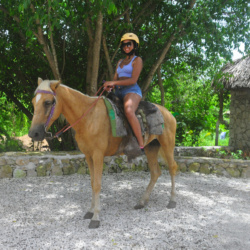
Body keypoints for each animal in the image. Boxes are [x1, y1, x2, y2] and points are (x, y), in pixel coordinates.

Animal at [28, 77, 178, 229]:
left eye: (47, 102)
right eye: (34, 102)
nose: (34, 133)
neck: (88, 118)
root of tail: (168, 113)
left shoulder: (98, 155)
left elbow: (97, 185)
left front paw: (95, 217)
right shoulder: (88, 156)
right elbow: (92, 183)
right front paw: (90, 211)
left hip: (167, 144)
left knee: (172, 167)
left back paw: (172, 200)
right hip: (151, 148)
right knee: (155, 173)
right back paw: (142, 201)